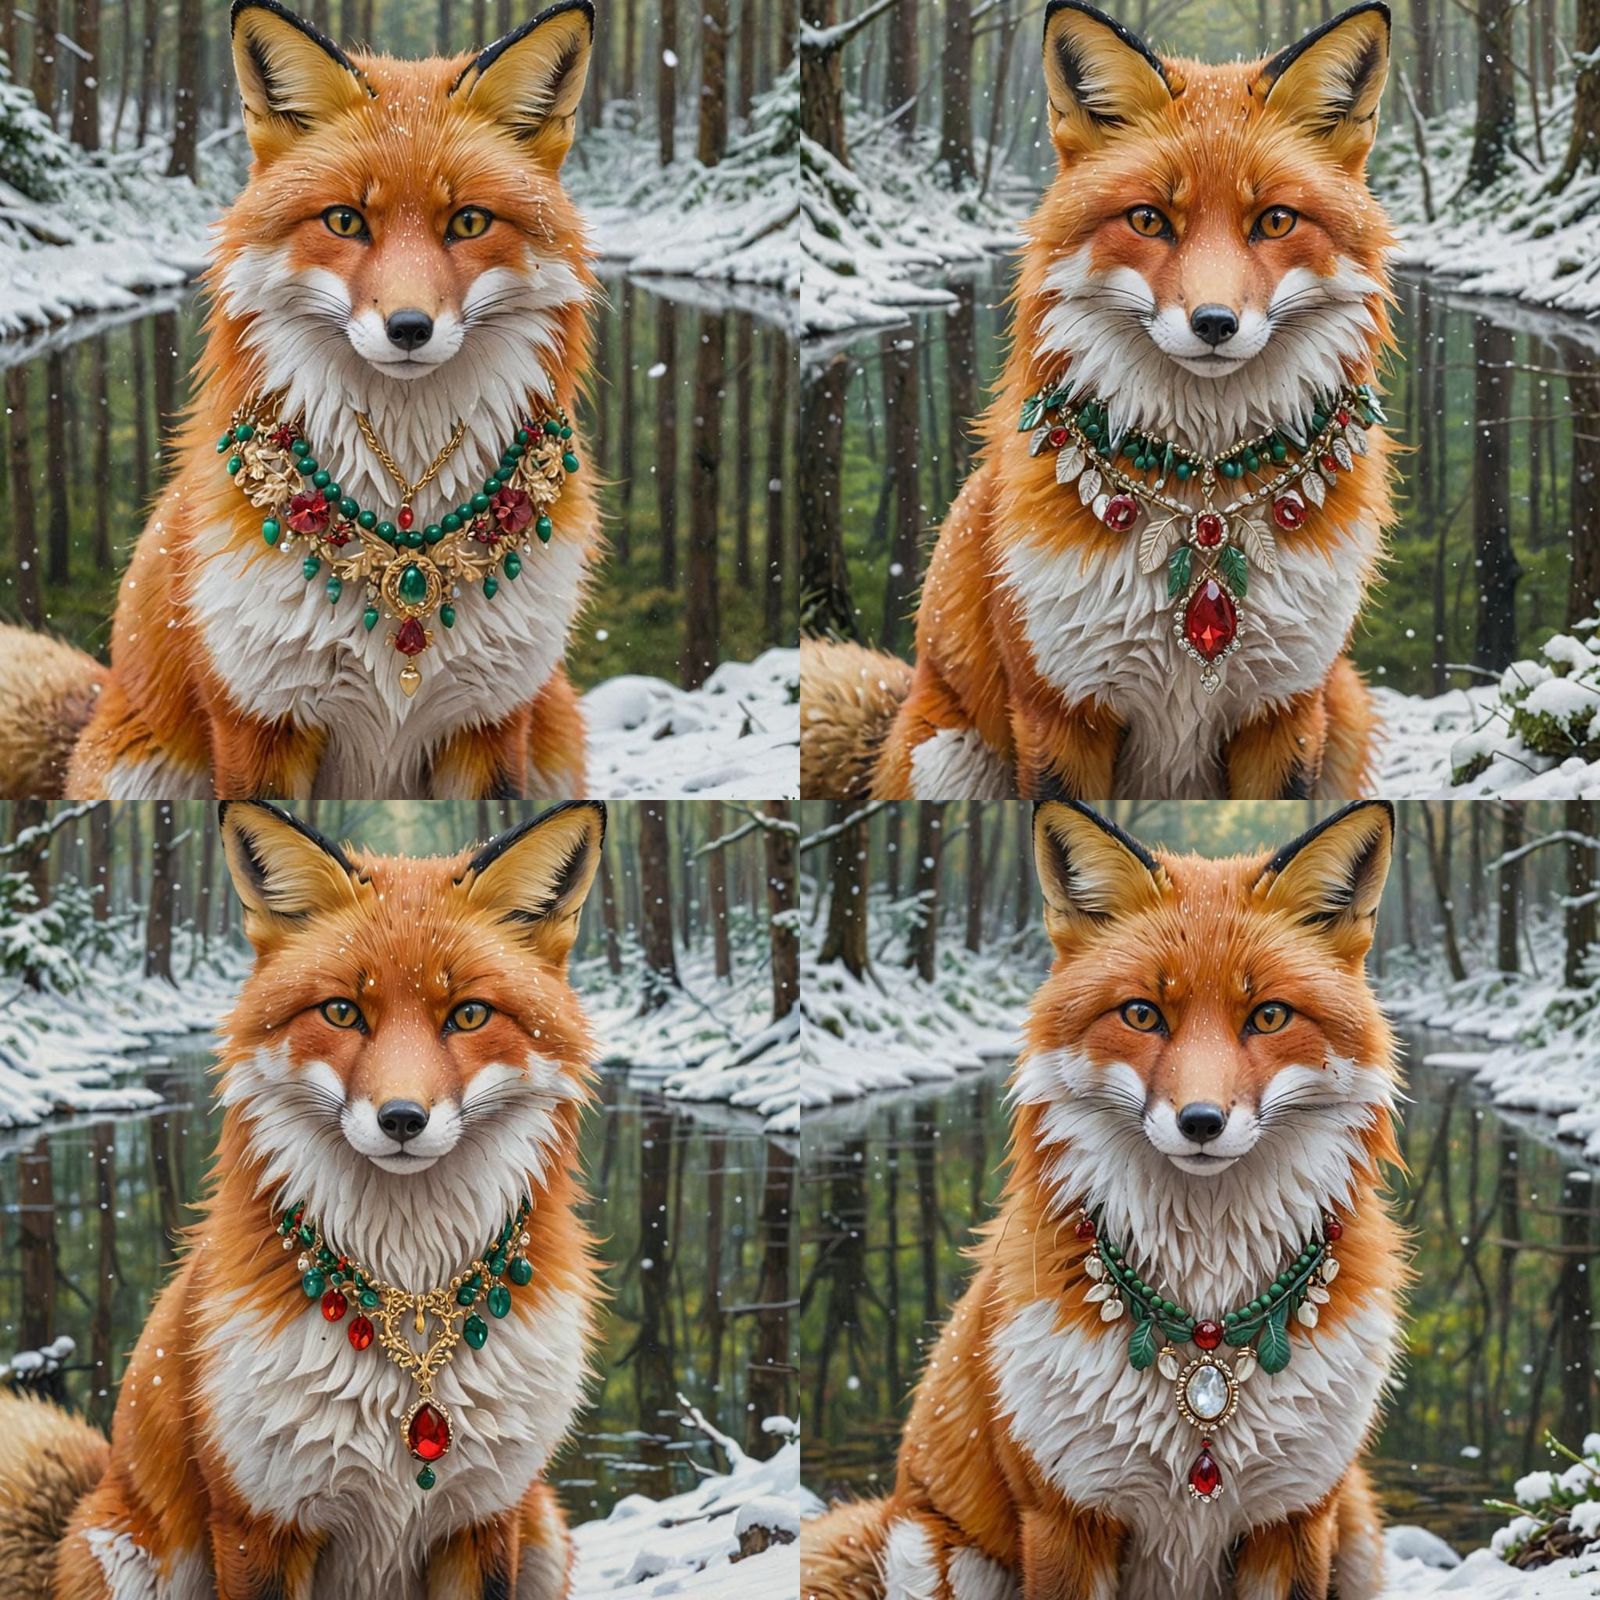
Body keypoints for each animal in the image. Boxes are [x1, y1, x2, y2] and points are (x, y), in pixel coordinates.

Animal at [0, 0, 600, 801]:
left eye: (469, 222)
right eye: (345, 221)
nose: (409, 328)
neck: (406, 524)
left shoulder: (490, 724)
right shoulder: (260, 721)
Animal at [0, 797, 607, 1600]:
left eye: (470, 1015)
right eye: (343, 1013)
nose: (403, 1119)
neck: (411, 1302)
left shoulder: (482, 1517)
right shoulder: (260, 1521)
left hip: (542, 1530)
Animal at [800, 1, 1397, 803]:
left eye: (1274, 221)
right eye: (1149, 220)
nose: (1214, 323)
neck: (1204, 500)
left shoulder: (1284, 711)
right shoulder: (1060, 711)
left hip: (1345, 710)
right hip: (948, 754)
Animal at [802, 799, 1407, 1600]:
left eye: (1270, 1017)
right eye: (1143, 1015)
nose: (1201, 1122)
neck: (1205, 1324)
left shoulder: (1296, 1519)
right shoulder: (1066, 1515)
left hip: (1358, 1531)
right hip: (937, 1554)